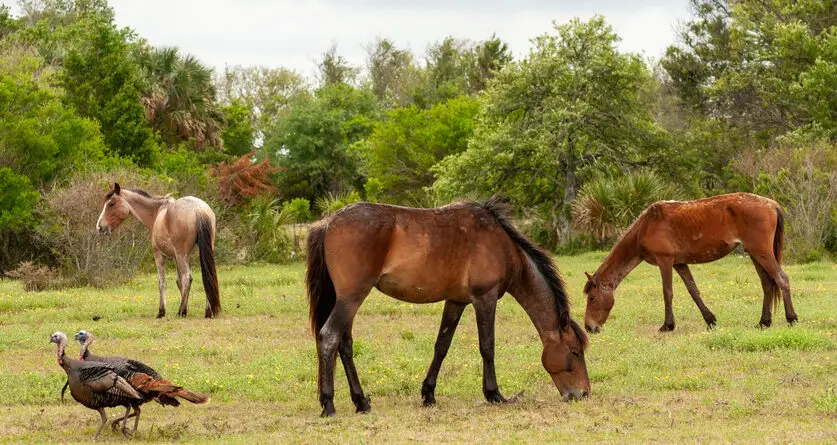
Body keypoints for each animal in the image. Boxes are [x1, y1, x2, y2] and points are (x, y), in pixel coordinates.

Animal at [95, 182, 220, 318]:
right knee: (208, 275)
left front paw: (162, 311)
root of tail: (198, 209)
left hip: (181, 254)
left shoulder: (160, 255)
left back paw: (181, 311)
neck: (157, 212)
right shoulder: (176, 257)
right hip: (200, 253)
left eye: (111, 204)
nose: (100, 227)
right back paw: (208, 312)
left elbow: (163, 282)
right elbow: (179, 282)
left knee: (188, 278)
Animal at [306, 197, 588, 416]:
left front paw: (428, 394)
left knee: (345, 345)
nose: (583, 394)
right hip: (351, 298)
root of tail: (328, 223)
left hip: (347, 301)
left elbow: (442, 346)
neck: (502, 245)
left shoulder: (456, 301)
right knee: (329, 337)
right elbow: (487, 346)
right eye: (574, 352)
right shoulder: (484, 299)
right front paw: (494, 394)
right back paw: (328, 404)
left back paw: (361, 402)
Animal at [584, 192, 792, 332]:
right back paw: (764, 322)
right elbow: (693, 291)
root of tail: (770, 203)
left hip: (761, 252)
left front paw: (667, 325)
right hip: (754, 253)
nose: (588, 327)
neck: (646, 226)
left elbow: (667, 292)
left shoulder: (665, 260)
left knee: (782, 279)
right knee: (767, 284)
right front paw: (710, 320)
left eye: (592, 298)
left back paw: (791, 318)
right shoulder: (679, 263)